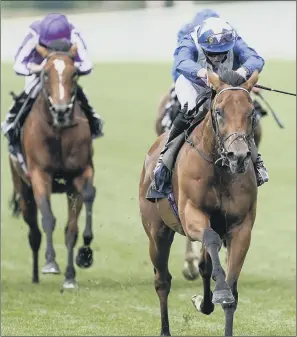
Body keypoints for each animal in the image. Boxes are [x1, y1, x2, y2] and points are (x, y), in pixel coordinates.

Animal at [8, 41, 96, 288]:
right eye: (45, 74)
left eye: (74, 74)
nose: (61, 110)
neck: (58, 132)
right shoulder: (40, 175)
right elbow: (48, 219)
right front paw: (50, 263)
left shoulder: (79, 174)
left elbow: (72, 228)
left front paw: (73, 271)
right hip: (23, 190)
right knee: (34, 232)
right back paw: (36, 275)